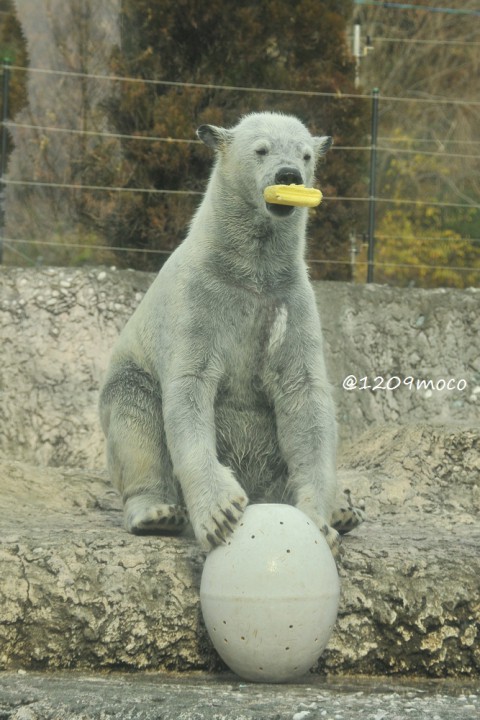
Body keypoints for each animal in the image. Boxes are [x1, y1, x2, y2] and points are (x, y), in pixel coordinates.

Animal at [100, 112, 364, 552]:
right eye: (261, 150)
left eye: (306, 155)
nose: (289, 175)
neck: (248, 272)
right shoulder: (199, 300)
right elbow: (190, 386)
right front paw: (219, 512)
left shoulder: (290, 301)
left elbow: (305, 397)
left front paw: (319, 521)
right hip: (130, 374)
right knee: (136, 421)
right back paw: (157, 513)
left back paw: (344, 510)